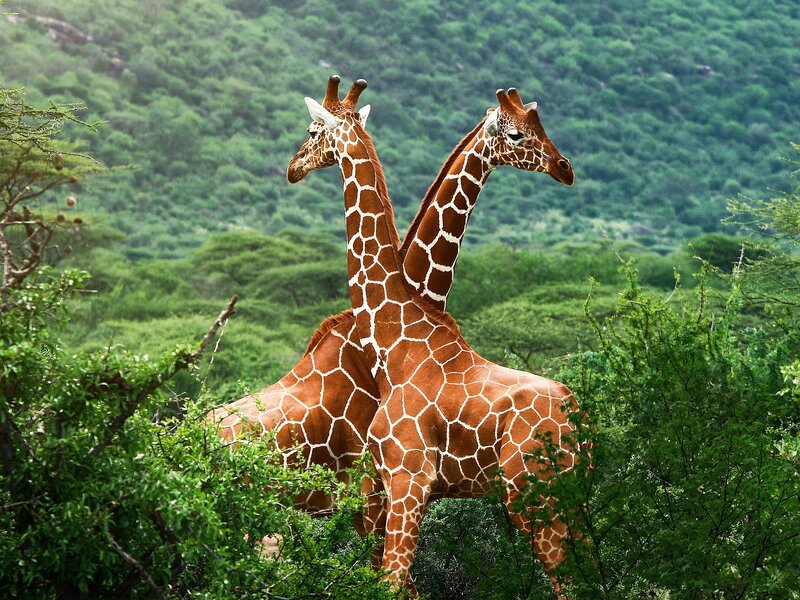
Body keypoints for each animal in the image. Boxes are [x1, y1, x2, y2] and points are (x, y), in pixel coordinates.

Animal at [286, 77, 585, 598]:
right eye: (518, 133)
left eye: (311, 130)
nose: (292, 167)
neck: (395, 338)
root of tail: (579, 422)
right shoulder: (388, 486)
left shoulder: (407, 478)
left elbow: (391, 583)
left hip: (534, 495)